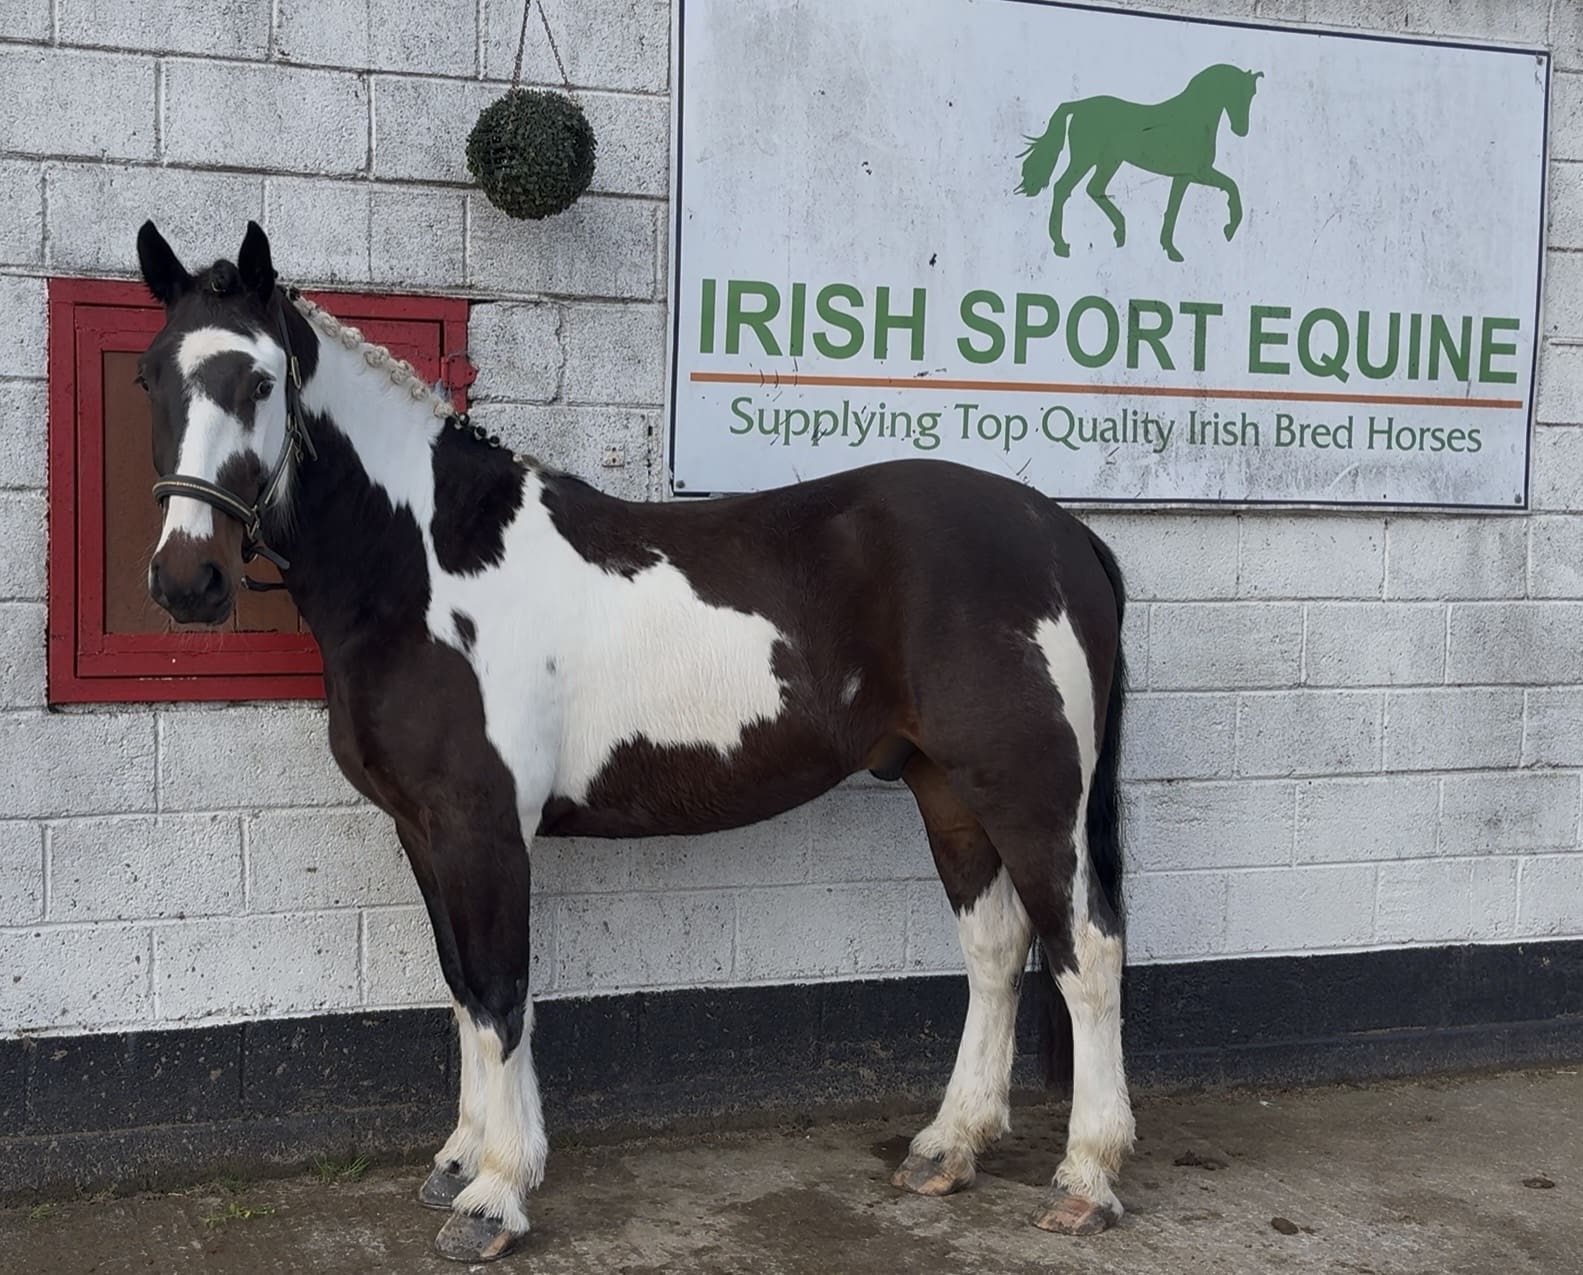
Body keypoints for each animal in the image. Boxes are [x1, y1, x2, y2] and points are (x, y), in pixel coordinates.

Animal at [132, 220, 1134, 1263]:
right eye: (148, 375)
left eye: (260, 380)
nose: (188, 580)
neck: (427, 568)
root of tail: (1062, 533)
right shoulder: (421, 830)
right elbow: (462, 986)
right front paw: (459, 1158)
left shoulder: (482, 827)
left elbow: (500, 992)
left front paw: (495, 1193)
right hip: (946, 786)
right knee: (995, 944)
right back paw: (949, 1145)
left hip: (1029, 792)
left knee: (1085, 949)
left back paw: (1086, 1178)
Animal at [1016, 63, 1263, 262]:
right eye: (1236, 91)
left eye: (1252, 94)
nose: (1241, 130)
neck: (1193, 118)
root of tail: (1078, 106)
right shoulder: (1198, 172)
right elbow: (1231, 186)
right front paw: (1229, 229)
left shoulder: (1185, 176)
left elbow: (1174, 208)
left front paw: (1171, 248)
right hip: (1085, 159)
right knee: (1063, 188)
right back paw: (1061, 245)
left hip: (1109, 161)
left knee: (1093, 189)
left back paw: (1120, 231)